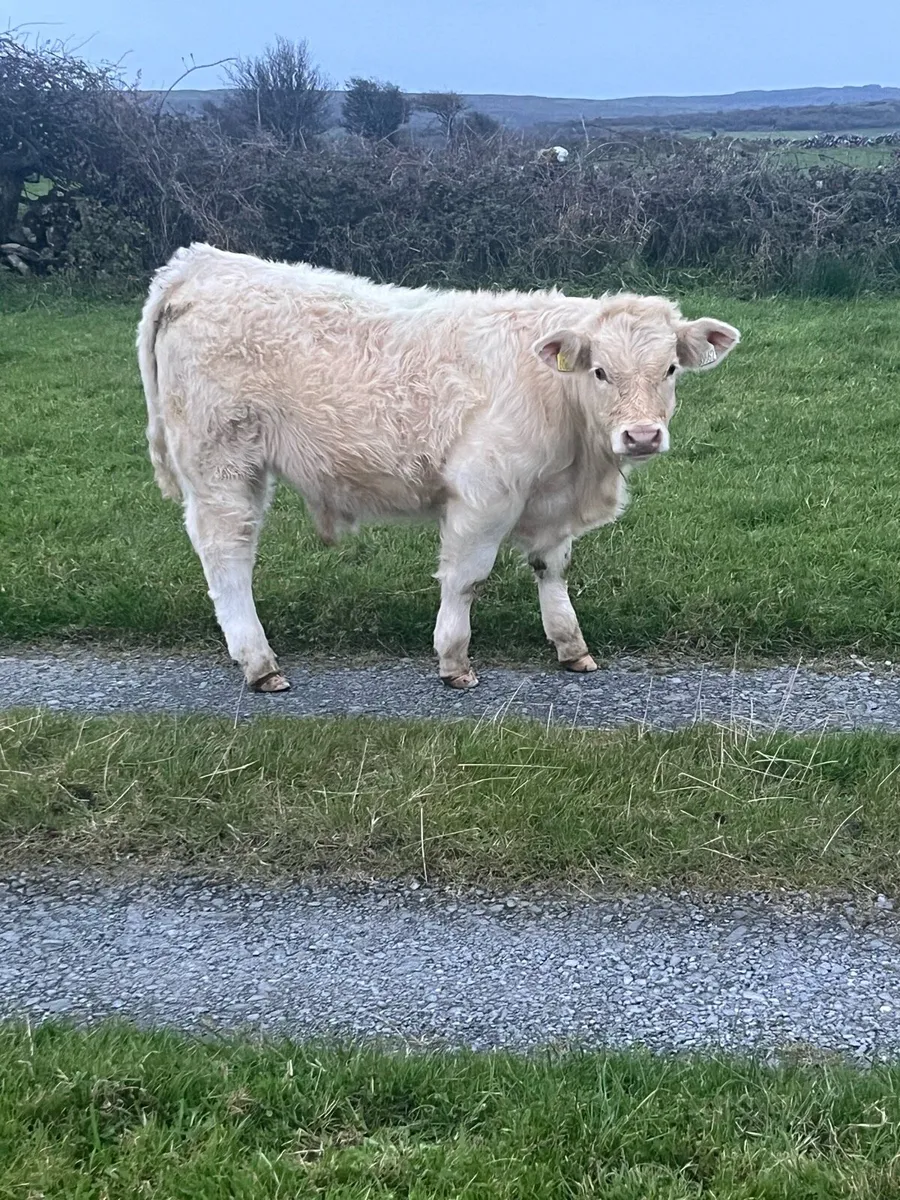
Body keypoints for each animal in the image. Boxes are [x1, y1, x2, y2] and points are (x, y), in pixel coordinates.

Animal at [137, 244, 740, 692]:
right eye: (599, 371)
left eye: (669, 369)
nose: (642, 435)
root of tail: (199, 263)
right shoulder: (484, 492)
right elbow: (466, 578)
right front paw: (454, 661)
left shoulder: (548, 499)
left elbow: (552, 568)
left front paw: (571, 647)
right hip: (222, 462)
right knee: (227, 554)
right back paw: (261, 664)